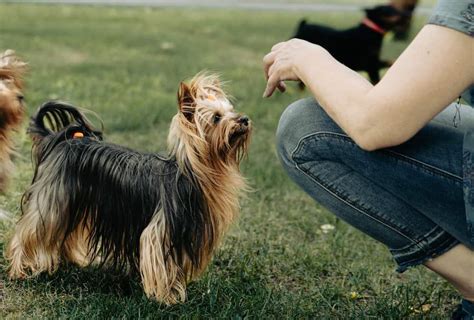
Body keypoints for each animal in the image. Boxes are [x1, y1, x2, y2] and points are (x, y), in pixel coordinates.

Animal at [6, 72, 252, 304]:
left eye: (231, 110)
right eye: (217, 118)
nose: (244, 119)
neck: (194, 173)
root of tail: (62, 140)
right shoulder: (159, 231)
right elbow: (160, 264)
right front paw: (166, 297)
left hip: (74, 201)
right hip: (51, 201)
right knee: (27, 232)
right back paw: (19, 270)